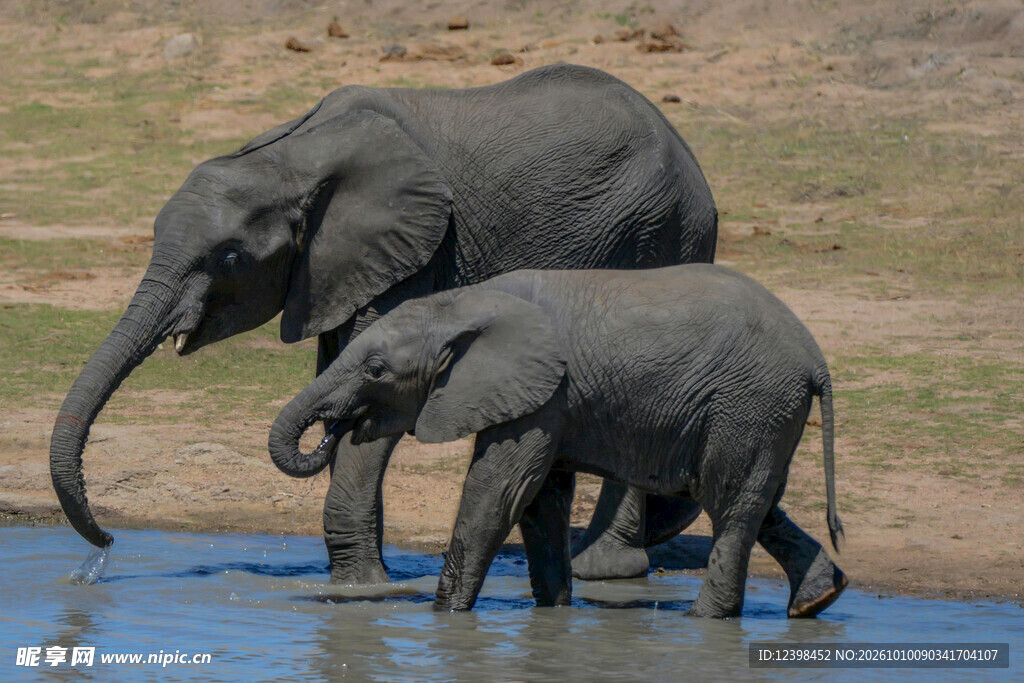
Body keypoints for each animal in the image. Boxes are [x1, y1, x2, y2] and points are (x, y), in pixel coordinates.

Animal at [49, 64, 718, 584]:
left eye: (230, 258)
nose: (108, 543)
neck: (290, 156)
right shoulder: (336, 267)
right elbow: (341, 371)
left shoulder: (417, 248)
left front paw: (360, 592)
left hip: (658, 232)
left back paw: (604, 571)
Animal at [268, 264, 848, 618]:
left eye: (376, 369)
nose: (330, 433)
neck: (461, 303)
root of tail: (816, 358)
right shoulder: (548, 399)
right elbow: (539, 500)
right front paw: (554, 616)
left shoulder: (544, 392)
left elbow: (498, 493)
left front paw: (445, 616)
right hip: (761, 412)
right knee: (756, 500)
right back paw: (816, 601)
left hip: (749, 402)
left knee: (729, 503)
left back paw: (704, 620)